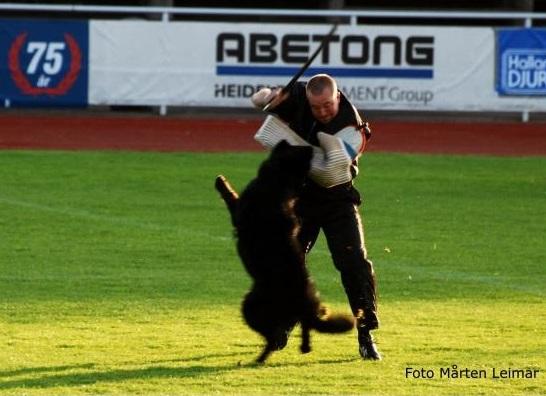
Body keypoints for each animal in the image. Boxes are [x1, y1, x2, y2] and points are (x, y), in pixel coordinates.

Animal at [214, 141, 352, 364]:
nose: (311, 146)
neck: (277, 183)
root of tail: (305, 304)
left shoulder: (239, 210)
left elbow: (230, 195)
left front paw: (221, 181)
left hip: (251, 308)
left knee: (273, 338)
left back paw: (260, 359)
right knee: (304, 326)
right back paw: (304, 347)